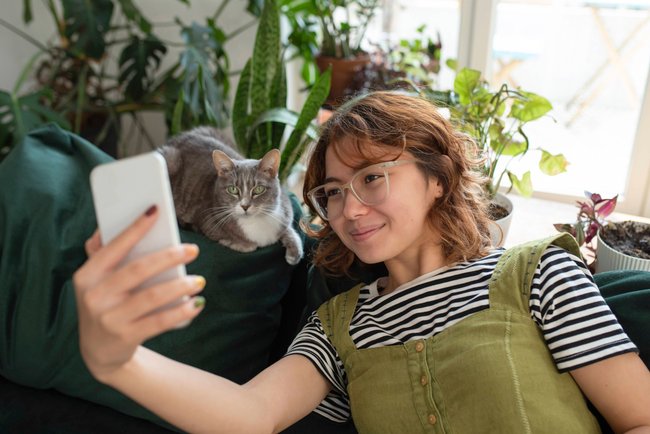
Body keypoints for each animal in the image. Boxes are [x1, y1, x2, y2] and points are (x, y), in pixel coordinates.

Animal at [157, 126, 302, 264]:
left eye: (258, 189)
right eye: (233, 189)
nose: (245, 206)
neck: (257, 222)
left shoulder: (285, 210)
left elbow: (288, 229)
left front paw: (294, 252)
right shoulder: (207, 220)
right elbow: (250, 246)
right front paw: (233, 243)